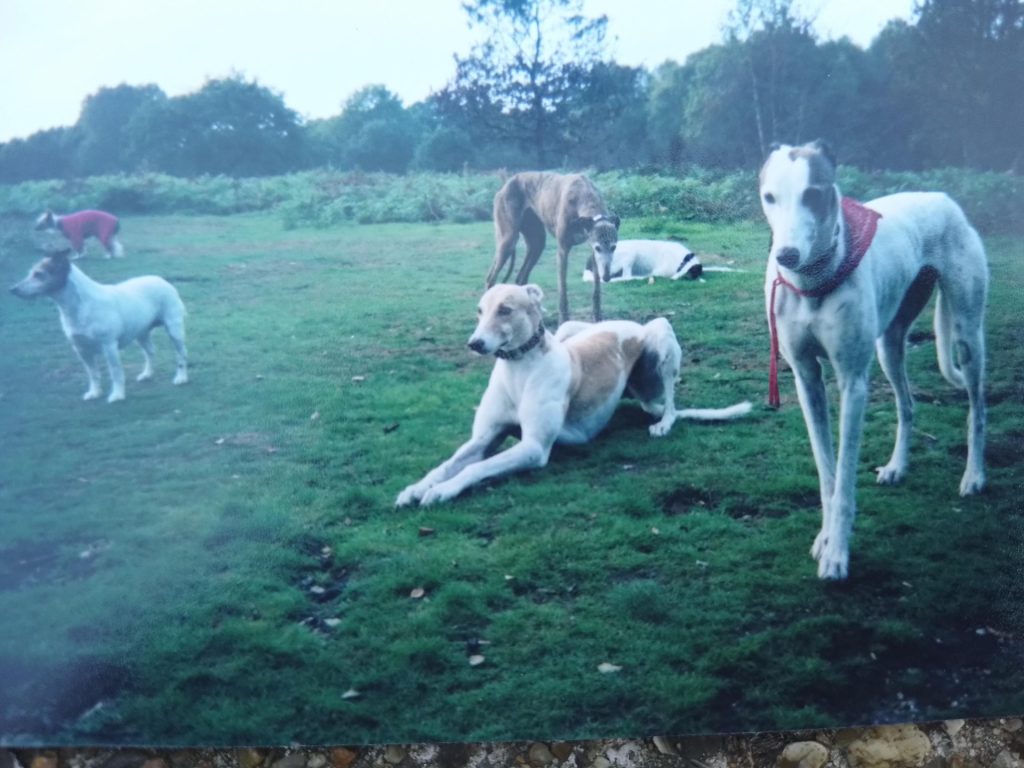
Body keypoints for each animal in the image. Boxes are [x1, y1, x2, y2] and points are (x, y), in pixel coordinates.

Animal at [10, 249, 188, 403]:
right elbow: (93, 374)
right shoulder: (81, 349)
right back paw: (147, 374)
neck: (80, 305)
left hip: (174, 330)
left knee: (181, 355)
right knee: (150, 352)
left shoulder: (109, 346)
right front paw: (94, 393)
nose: (13, 289)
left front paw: (117, 395)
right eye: (31, 273)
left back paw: (181, 378)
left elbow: (115, 372)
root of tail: (162, 279)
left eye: (39, 274)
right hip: (141, 333)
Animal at [395, 283, 751, 507]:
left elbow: (475, 468)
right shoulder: (485, 438)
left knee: (672, 406)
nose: (475, 343)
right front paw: (415, 488)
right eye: (479, 311)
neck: (519, 368)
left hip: (660, 334)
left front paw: (443, 491)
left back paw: (664, 423)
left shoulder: (534, 448)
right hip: (569, 328)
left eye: (505, 310)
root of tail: (628, 323)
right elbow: (446, 465)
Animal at [485, 172, 620, 324]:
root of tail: (506, 183)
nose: (607, 277)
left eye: (614, 247)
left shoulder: (591, 249)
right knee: (490, 280)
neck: (585, 194)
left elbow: (596, 291)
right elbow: (563, 292)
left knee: (520, 279)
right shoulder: (563, 250)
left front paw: (598, 319)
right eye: (598, 248)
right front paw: (564, 321)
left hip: (537, 243)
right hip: (508, 240)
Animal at [759, 140, 987, 580]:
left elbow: (846, 479)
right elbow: (827, 475)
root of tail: (943, 197)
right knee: (908, 404)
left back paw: (975, 475)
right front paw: (825, 538)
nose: (787, 256)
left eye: (813, 194)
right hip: (889, 344)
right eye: (769, 197)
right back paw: (897, 466)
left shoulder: (853, 383)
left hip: (967, 335)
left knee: (977, 409)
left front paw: (837, 554)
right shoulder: (806, 379)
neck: (815, 280)